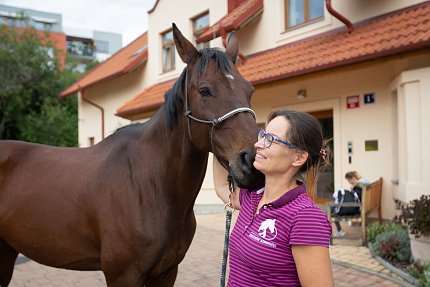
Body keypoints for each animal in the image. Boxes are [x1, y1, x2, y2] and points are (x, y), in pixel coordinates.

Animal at [0, 23, 262, 286]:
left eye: (250, 90)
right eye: (205, 91)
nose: (252, 161)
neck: (150, 185)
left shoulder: (168, 271)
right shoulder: (123, 275)